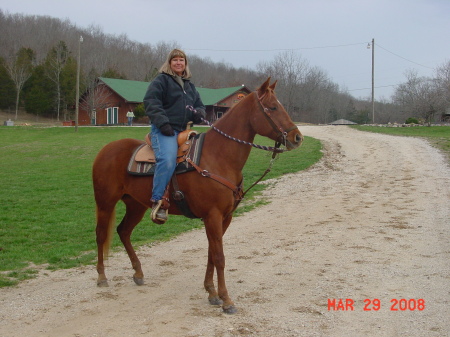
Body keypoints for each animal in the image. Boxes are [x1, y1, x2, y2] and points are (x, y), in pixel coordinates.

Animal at [92, 78, 302, 312]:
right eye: (273, 107)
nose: (297, 137)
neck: (218, 156)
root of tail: (105, 150)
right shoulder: (212, 216)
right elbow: (219, 257)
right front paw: (226, 299)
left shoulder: (225, 217)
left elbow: (211, 253)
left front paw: (211, 292)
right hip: (105, 202)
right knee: (101, 234)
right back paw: (102, 277)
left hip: (136, 205)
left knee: (123, 231)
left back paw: (138, 272)